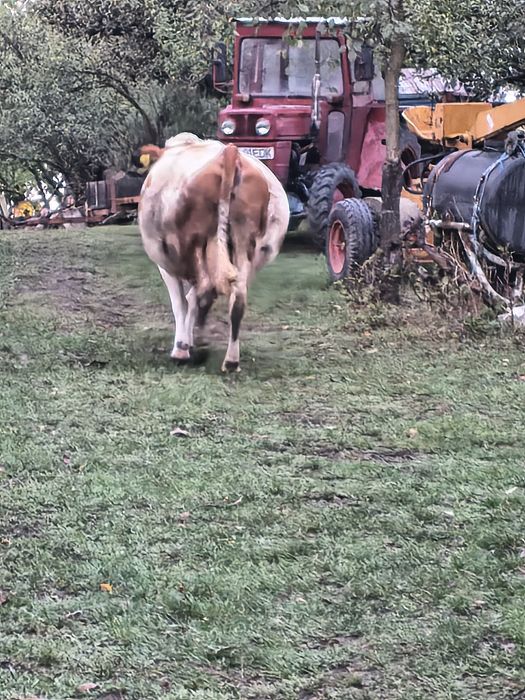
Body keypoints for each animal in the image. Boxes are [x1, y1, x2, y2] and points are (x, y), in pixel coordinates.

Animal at [137, 133, 290, 372]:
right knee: (237, 297)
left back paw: (191, 348)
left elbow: (181, 303)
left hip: (195, 243)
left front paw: (182, 346)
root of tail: (230, 153)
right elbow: (190, 299)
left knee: (206, 288)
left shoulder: (166, 264)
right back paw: (230, 360)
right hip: (244, 244)